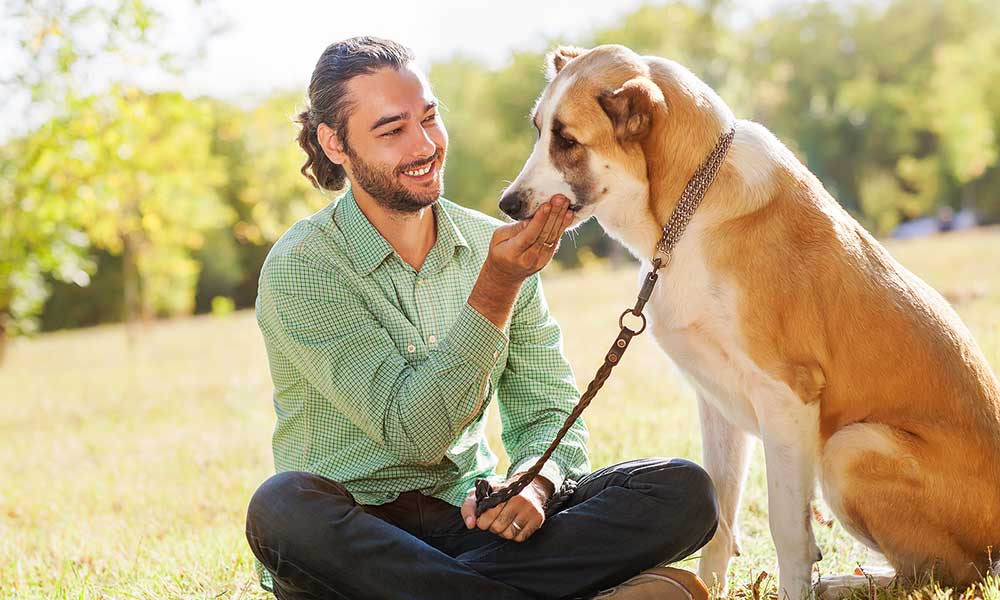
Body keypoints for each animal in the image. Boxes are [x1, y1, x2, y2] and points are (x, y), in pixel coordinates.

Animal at [498, 45, 1000, 600]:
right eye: (538, 129)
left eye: (567, 140)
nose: (507, 205)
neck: (687, 210)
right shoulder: (717, 402)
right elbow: (720, 514)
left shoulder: (787, 396)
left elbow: (788, 530)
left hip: (850, 447)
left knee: (951, 573)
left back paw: (845, 582)